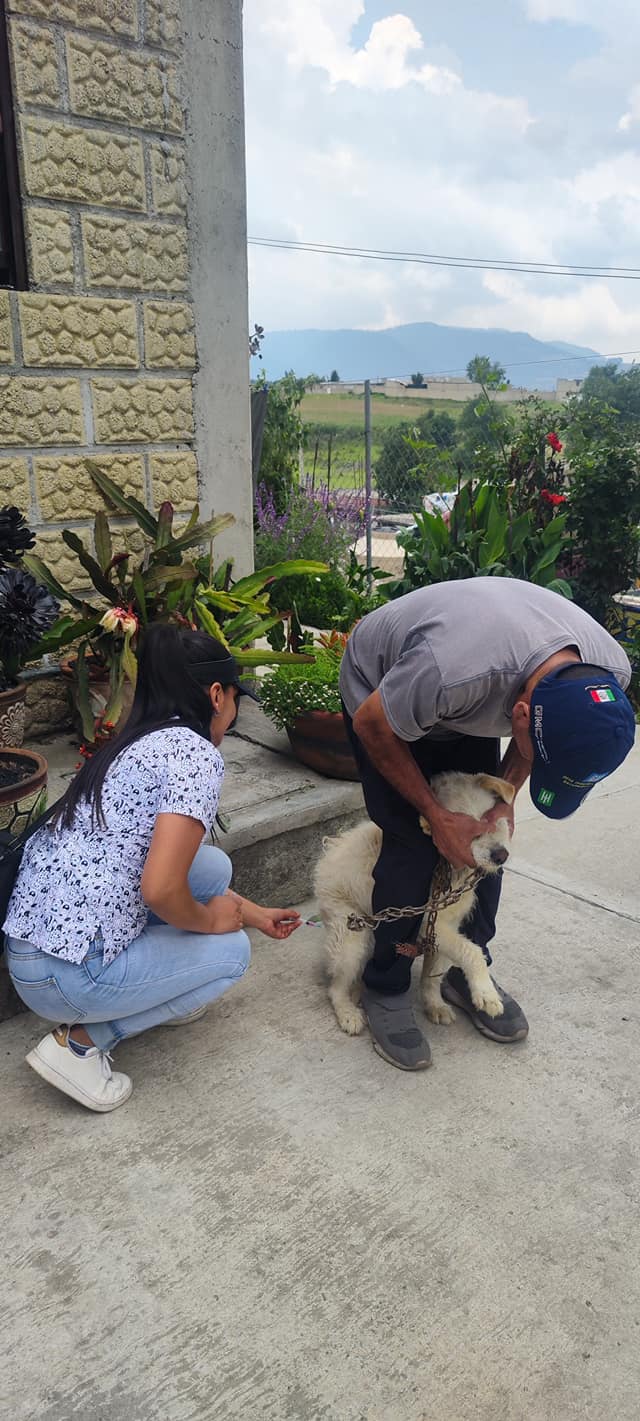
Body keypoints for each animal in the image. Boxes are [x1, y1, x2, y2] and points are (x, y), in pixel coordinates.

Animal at [314, 773, 514, 1040]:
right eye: (466, 832)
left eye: (489, 818)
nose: (501, 856)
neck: (448, 869)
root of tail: (329, 851)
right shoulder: (426, 923)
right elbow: (472, 951)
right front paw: (486, 993)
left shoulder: (444, 926)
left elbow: (433, 975)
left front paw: (434, 1005)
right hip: (352, 937)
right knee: (335, 987)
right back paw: (349, 1013)